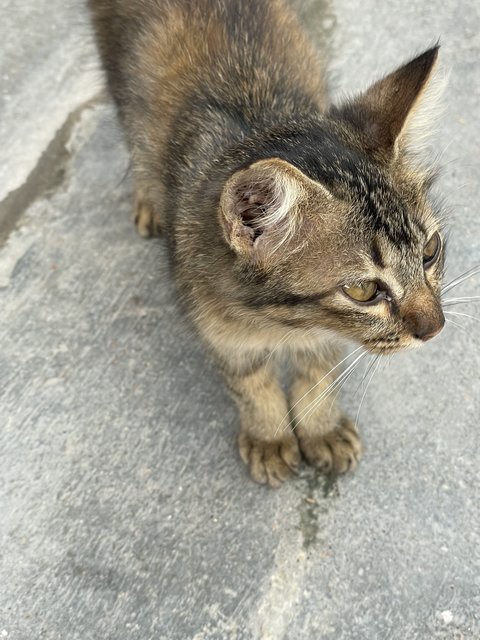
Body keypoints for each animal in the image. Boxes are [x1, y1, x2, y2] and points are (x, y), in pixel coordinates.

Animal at [89, 0, 446, 488]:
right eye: (363, 290)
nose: (437, 328)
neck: (279, 321)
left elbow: (318, 369)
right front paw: (270, 436)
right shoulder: (215, 326)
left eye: (430, 251)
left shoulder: (322, 334)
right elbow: (250, 382)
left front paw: (320, 427)